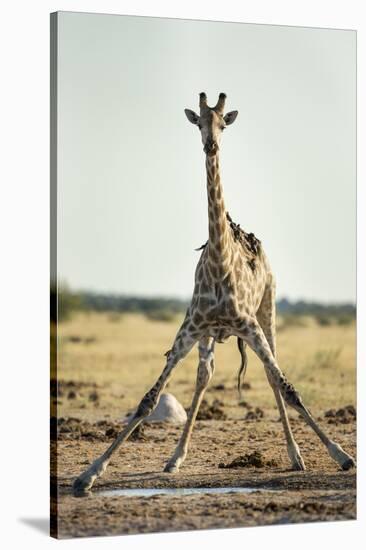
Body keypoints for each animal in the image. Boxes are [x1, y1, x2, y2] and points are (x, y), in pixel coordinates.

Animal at [73, 92, 356, 494]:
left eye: (224, 122)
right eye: (200, 123)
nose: (211, 144)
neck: (221, 261)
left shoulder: (249, 325)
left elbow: (288, 387)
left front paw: (341, 455)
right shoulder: (189, 328)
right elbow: (148, 400)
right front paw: (90, 472)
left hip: (268, 312)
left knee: (271, 374)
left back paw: (296, 456)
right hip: (208, 335)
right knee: (204, 376)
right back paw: (175, 458)